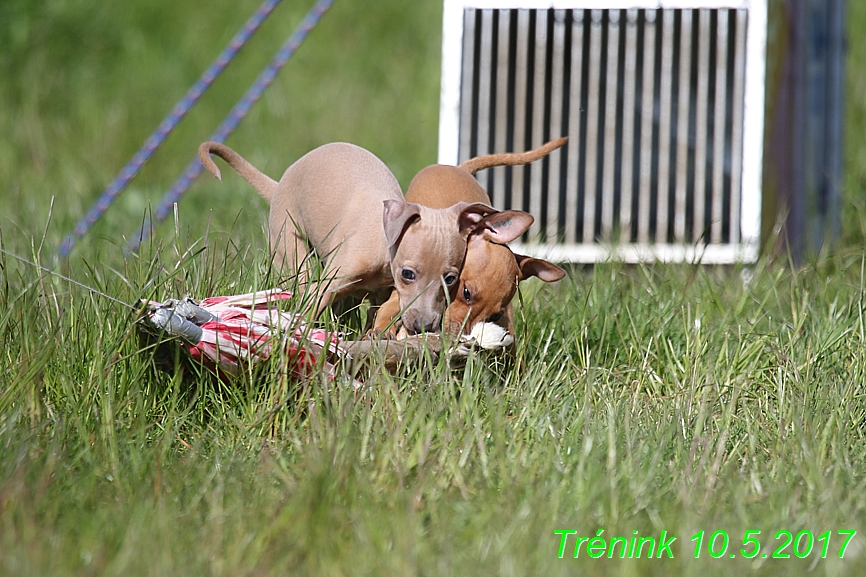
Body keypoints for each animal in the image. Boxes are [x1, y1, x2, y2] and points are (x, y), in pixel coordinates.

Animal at [197, 140, 492, 336]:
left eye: (450, 279)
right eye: (408, 274)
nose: (425, 327)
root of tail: (279, 184)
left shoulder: (382, 293)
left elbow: (379, 315)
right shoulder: (330, 283)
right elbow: (310, 308)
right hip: (290, 247)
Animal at [372, 139, 564, 338]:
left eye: (494, 316)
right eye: (466, 293)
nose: (458, 337)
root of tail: (460, 168)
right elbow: (392, 305)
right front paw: (383, 328)